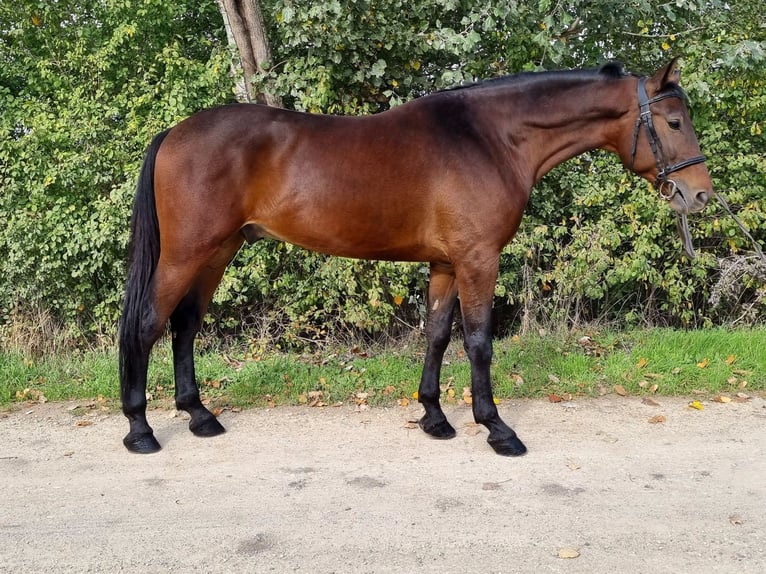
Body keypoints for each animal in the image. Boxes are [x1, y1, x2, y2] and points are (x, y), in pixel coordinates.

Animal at [118, 57, 712, 454]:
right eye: (674, 122)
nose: (701, 195)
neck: (492, 138)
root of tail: (174, 133)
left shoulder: (447, 263)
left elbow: (438, 335)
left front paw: (434, 417)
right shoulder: (478, 259)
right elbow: (478, 342)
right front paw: (496, 427)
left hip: (218, 251)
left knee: (185, 326)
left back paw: (199, 416)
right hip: (186, 254)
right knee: (147, 325)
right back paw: (140, 430)